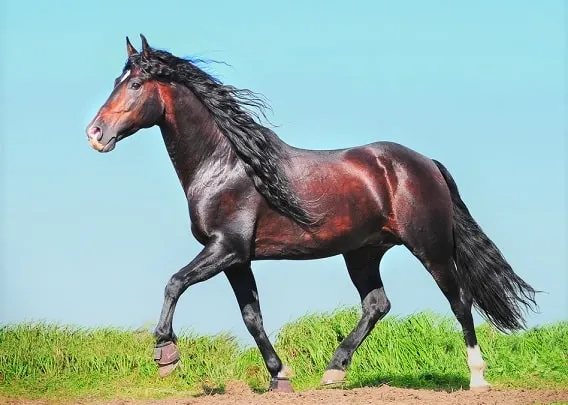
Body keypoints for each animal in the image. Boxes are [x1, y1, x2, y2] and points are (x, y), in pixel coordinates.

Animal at [84, 34, 536, 392]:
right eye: (115, 83)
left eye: (136, 84)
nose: (95, 134)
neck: (227, 166)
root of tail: (426, 163)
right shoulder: (237, 259)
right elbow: (251, 317)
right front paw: (279, 377)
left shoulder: (225, 249)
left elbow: (174, 283)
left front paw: (166, 353)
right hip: (363, 253)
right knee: (377, 304)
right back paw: (334, 372)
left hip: (431, 247)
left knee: (459, 300)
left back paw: (478, 378)